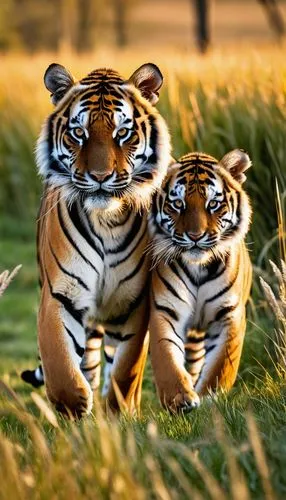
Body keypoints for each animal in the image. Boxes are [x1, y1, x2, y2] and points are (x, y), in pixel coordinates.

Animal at [22, 62, 171, 416]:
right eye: (79, 133)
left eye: (123, 133)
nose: (100, 177)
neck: (107, 221)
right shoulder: (59, 294)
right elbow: (61, 364)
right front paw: (75, 407)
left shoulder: (133, 301)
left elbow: (126, 368)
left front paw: (121, 412)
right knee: (86, 359)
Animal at [150, 149, 252, 414]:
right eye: (178, 204)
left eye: (213, 204)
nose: (195, 237)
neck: (199, 268)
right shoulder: (165, 311)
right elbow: (167, 358)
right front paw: (180, 399)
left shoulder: (230, 314)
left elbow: (221, 365)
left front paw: (209, 399)